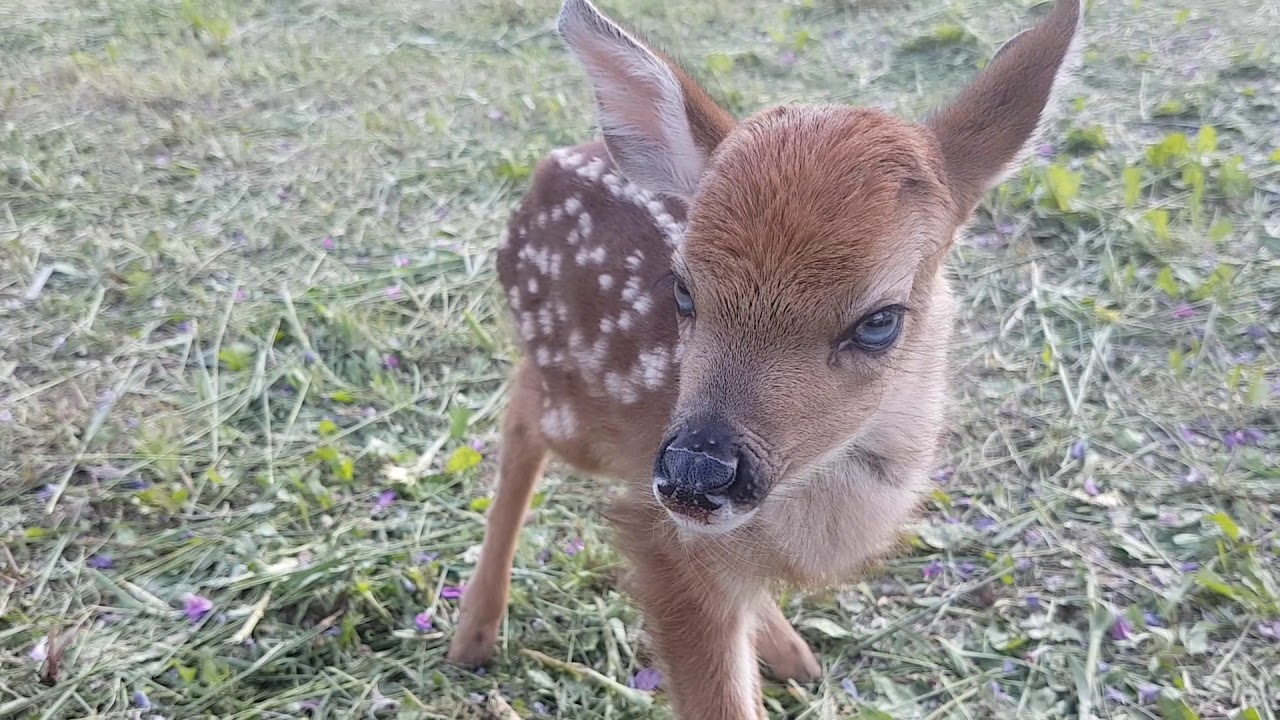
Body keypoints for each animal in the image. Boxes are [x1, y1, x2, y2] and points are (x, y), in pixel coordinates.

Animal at [445, 0, 1083, 716]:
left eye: (880, 321)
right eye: (683, 290)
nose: (696, 471)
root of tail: (545, 172)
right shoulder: (662, 541)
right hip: (580, 408)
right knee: (522, 414)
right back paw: (474, 633)